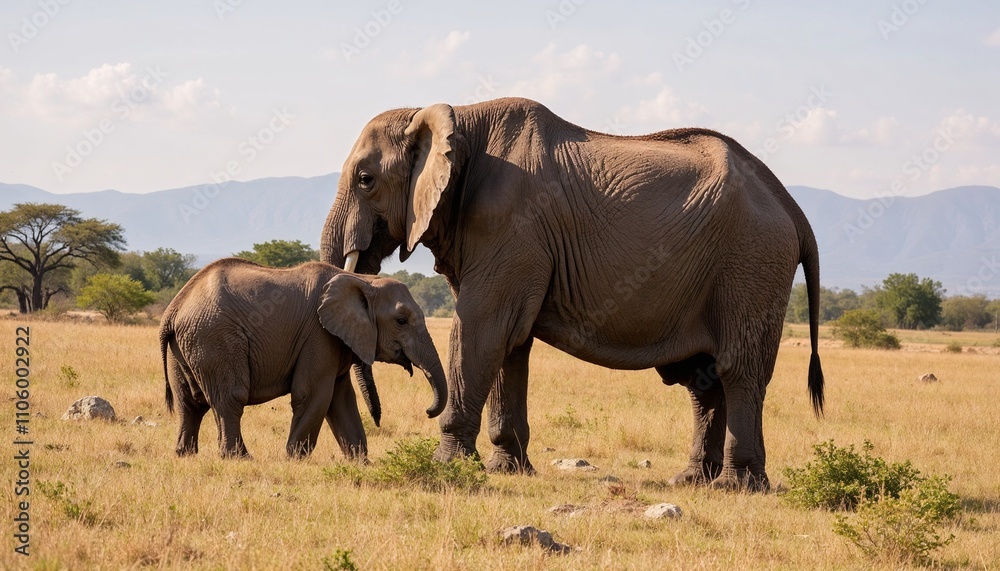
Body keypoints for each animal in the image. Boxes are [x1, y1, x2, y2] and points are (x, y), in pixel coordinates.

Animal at [159, 258, 447, 459]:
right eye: (401, 321)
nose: (427, 411)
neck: (363, 280)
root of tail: (173, 309)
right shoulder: (318, 335)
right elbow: (312, 394)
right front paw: (294, 459)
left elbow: (341, 400)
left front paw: (360, 463)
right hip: (215, 338)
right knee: (230, 397)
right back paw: (239, 458)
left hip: (186, 344)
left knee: (189, 404)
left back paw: (185, 455)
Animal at [321, 97, 824, 490]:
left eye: (365, 179)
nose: (388, 418)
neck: (458, 117)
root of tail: (792, 208)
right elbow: (511, 344)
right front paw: (509, 471)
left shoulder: (511, 226)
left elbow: (483, 329)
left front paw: (448, 466)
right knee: (703, 380)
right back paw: (693, 480)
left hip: (752, 262)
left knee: (739, 370)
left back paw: (739, 486)